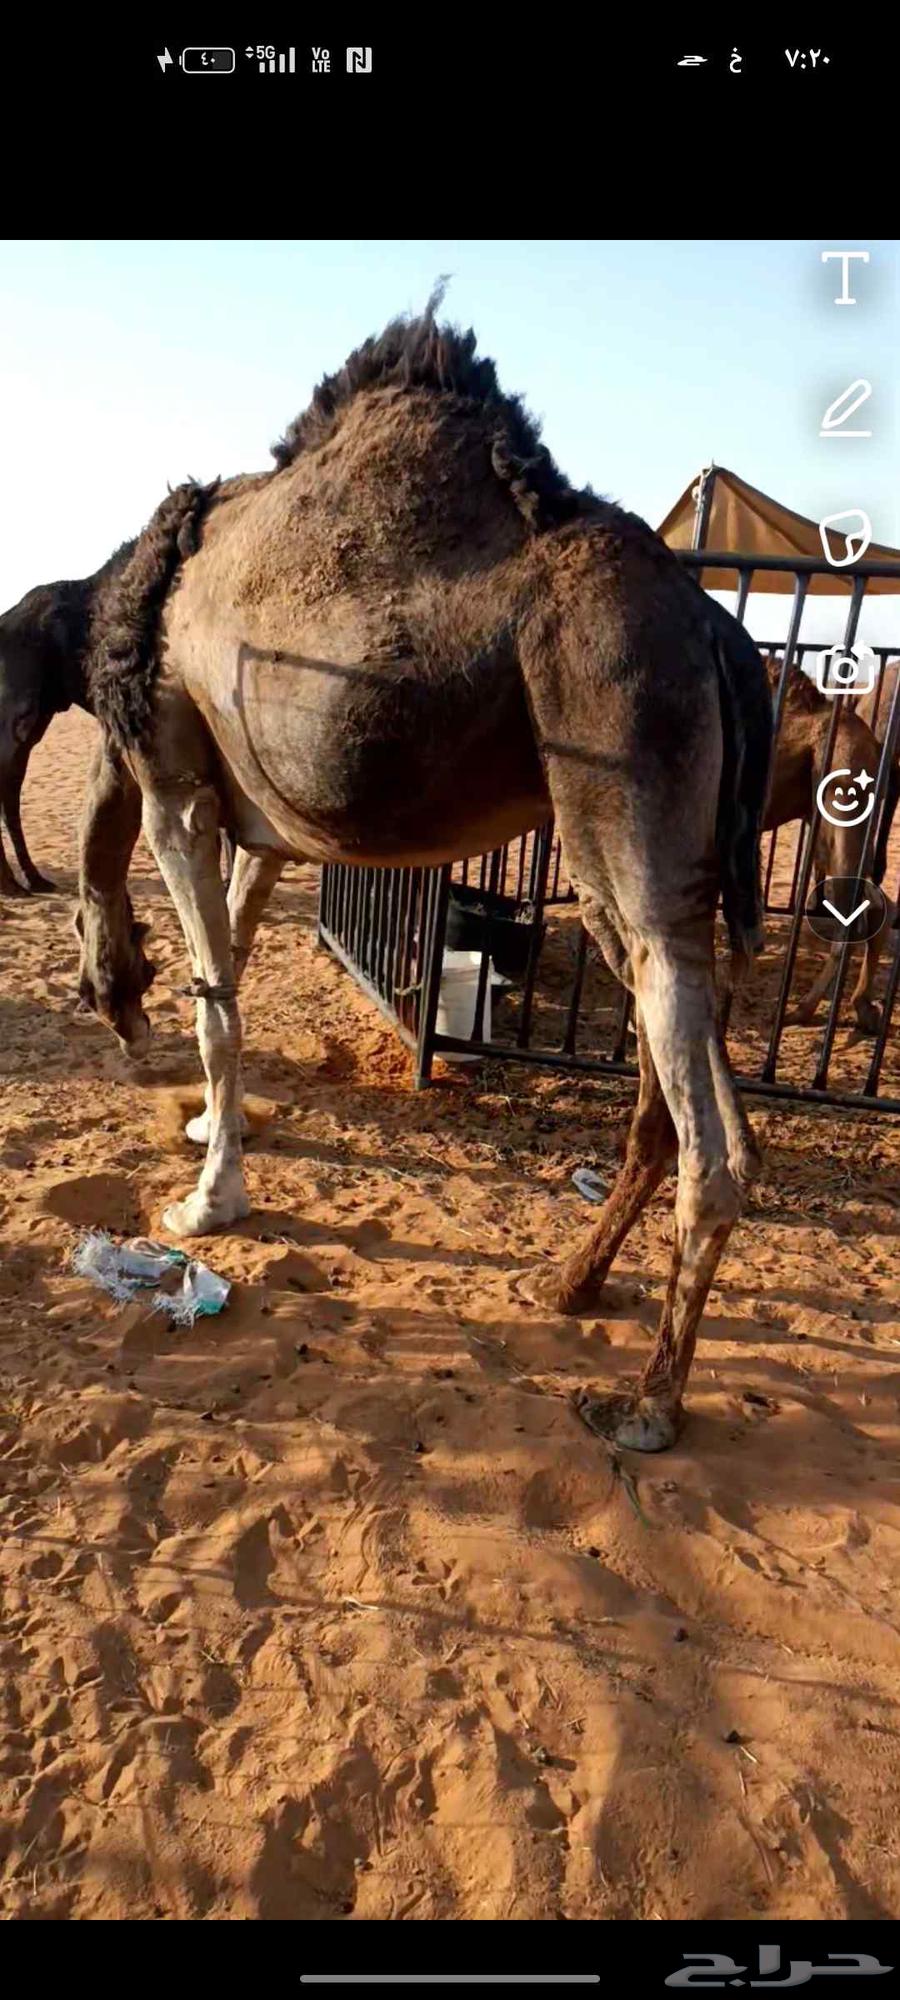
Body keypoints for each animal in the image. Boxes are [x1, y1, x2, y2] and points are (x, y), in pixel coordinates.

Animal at [75, 296, 773, 1453]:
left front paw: (207, 1202)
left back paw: (649, 1404)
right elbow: (239, 961)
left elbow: (216, 1005)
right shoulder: (259, 814)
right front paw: (215, 1131)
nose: (105, 1009)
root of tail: (719, 626)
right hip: (640, 868)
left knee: (709, 1144)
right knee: (685, 1099)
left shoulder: (173, 773)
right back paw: (569, 1284)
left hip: (623, 769)